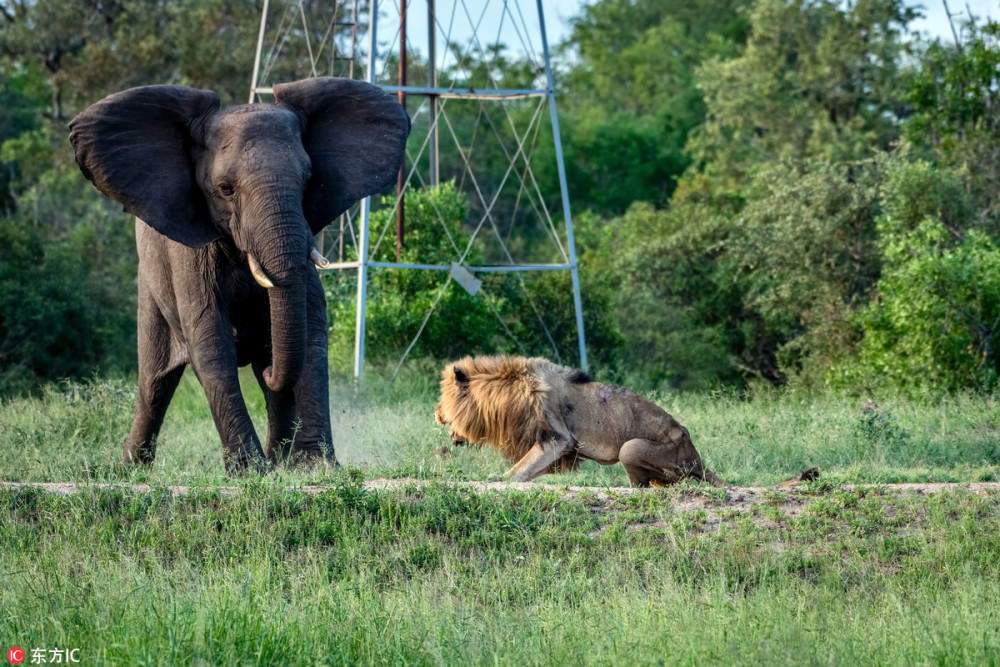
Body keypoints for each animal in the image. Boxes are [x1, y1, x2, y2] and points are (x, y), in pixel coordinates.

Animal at [69, 78, 410, 472]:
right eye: (226, 190)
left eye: (308, 180)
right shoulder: (189, 252)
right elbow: (210, 342)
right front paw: (250, 470)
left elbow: (311, 332)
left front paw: (315, 466)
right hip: (150, 289)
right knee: (155, 383)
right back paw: (133, 468)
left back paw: (281, 459)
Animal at [434, 352, 724, 488]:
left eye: (443, 399)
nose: (436, 414)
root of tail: (697, 457)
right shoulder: (559, 448)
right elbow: (530, 470)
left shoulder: (557, 438)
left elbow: (520, 468)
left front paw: (498, 479)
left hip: (632, 449)